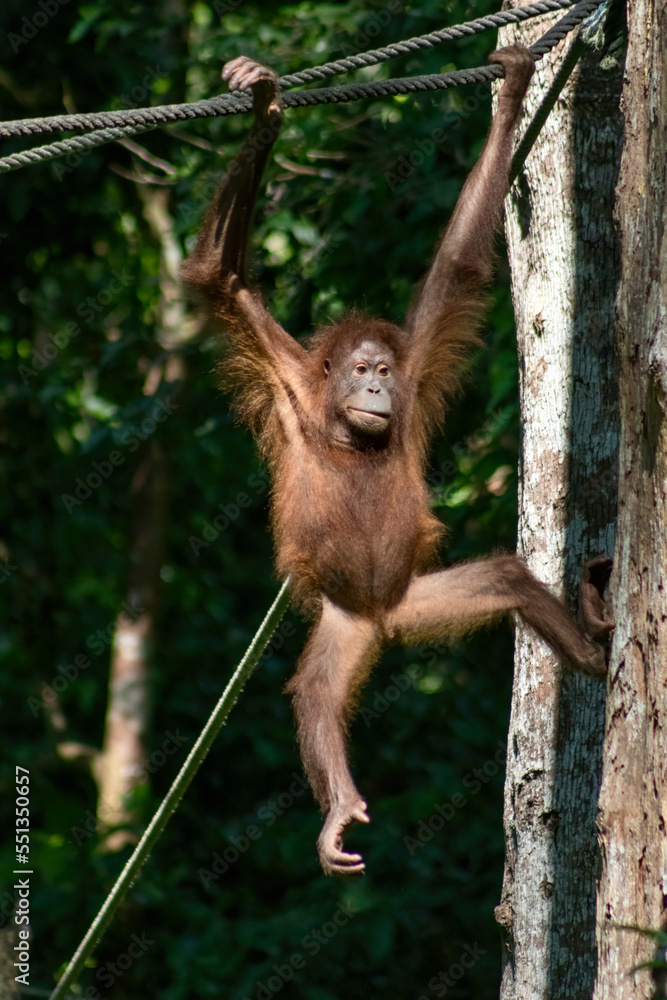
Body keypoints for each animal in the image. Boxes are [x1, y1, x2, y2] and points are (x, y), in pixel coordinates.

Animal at [182, 49, 613, 876]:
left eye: (384, 371)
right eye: (359, 371)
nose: (377, 389)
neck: (348, 433)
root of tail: (383, 621)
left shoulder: (418, 378)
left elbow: (457, 268)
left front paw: (513, 84)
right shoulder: (285, 381)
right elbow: (223, 275)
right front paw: (265, 107)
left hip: (421, 600)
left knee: (504, 578)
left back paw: (591, 646)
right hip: (345, 620)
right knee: (316, 694)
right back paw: (338, 810)